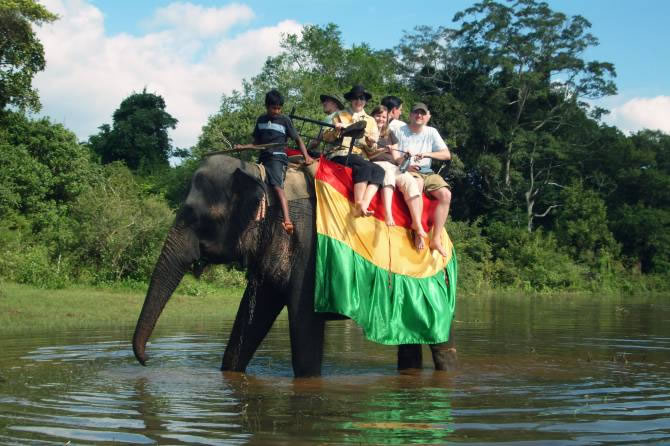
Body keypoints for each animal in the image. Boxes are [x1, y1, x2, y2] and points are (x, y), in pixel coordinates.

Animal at [132, 154, 457, 377]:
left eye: (196, 217)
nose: (147, 361)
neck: (262, 175)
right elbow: (252, 317)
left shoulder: (309, 248)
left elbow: (304, 328)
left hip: (435, 278)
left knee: (440, 339)